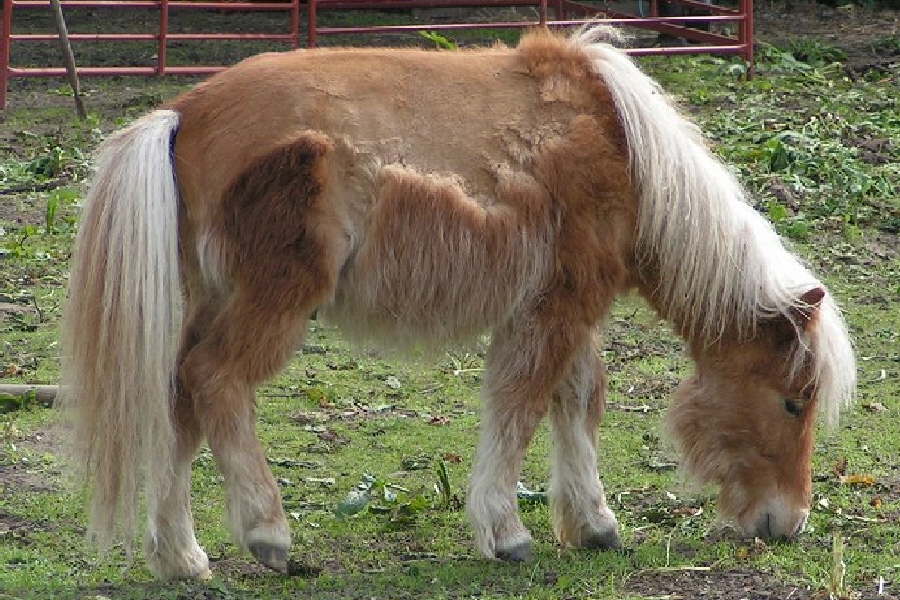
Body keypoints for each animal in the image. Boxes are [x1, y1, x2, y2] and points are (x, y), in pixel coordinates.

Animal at [58, 25, 856, 580]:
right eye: (794, 401)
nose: (788, 523)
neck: (623, 148)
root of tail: (181, 115)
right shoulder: (553, 311)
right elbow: (521, 406)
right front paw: (506, 533)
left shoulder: (564, 309)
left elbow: (578, 401)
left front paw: (592, 524)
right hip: (272, 304)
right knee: (214, 381)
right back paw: (267, 534)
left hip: (210, 300)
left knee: (177, 401)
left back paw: (180, 557)